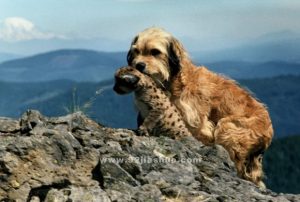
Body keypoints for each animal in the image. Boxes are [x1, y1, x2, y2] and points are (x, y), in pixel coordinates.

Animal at [126, 27, 274, 188]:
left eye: (155, 52)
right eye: (136, 51)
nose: (138, 65)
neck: (175, 81)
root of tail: (269, 132)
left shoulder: (197, 122)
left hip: (228, 127)